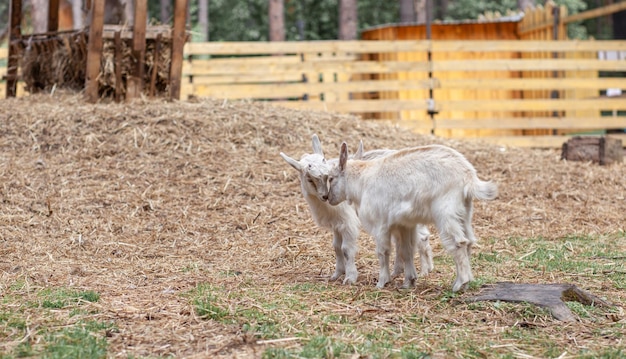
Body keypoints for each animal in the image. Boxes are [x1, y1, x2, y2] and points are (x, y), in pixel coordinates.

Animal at [280, 136, 432, 286]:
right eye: (309, 179)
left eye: (327, 176)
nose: (324, 196)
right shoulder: (336, 223)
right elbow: (336, 247)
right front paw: (337, 274)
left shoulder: (347, 221)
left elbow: (346, 249)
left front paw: (350, 277)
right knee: (401, 241)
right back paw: (399, 271)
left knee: (421, 237)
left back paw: (425, 270)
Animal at [326, 142, 498, 292]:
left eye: (331, 178)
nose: (327, 198)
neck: (362, 181)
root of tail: (469, 177)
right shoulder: (404, 224)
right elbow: (406, 251)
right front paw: (409, 281)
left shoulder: (380, 224)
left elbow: (383, 252)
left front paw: (382, 282)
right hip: (464, 213)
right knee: (469, 242)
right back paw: (465, 282)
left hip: (446, 213)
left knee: (459, 243)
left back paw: (459, 284)